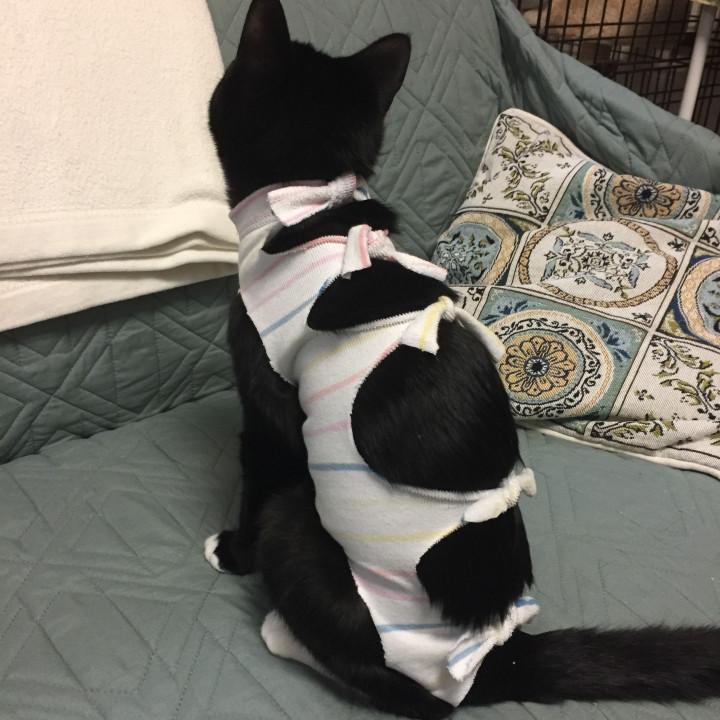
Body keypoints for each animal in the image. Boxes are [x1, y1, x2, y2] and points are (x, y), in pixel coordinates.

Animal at [204, 0, 720, 718]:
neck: (310, 205)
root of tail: (498, 658)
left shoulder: (267, 406)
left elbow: (255, 479)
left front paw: (231, 549)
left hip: (298, 530)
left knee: (416, 698)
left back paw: (290, 637)